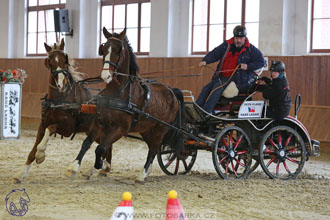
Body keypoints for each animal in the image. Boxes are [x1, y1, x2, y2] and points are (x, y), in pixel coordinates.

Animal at [13, 38, 111, 183]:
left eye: (65, 60)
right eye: (50, 62)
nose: (61, 84)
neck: (60, 99)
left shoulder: (67, 128)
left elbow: (50, 130)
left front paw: (41, 155)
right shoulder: (42, 125)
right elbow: (33, 149)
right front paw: (20, 174)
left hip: (99, 129)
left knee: (97, 145)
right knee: (107, 147)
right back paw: (102, 169)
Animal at [82, 27, 180, 182]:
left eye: (119, 50)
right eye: (103, 48)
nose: (105, 76)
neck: (118, 91)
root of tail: (172, 91)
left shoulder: (121, 128)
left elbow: (101, 148)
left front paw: (99, 165)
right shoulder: (101, 122)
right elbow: (91, 144)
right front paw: (86, 168)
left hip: (160, 128)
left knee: (154, 149)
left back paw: (142, 175)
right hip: (147, 129)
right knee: (152, 147)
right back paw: (147, 171)